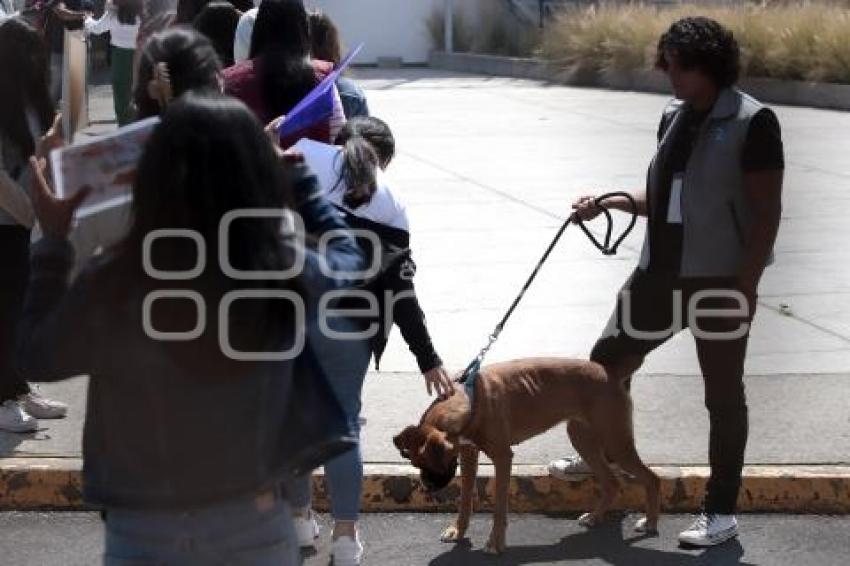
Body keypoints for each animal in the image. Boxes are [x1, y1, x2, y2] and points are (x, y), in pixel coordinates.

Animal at [394, 360, 660, 556]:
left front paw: (495, 542)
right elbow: (465, 500)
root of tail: (612, 375)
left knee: (651, 478)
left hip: (617, 443)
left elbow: (499, 508)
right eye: (415, 464)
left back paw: (649, 523)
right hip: (583, 440)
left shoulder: (503, 458)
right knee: (612, 482)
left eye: (430, 463)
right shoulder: (469, 456)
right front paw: (458, 531)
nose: (426, 486)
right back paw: (595, 517)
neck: (471, 399)